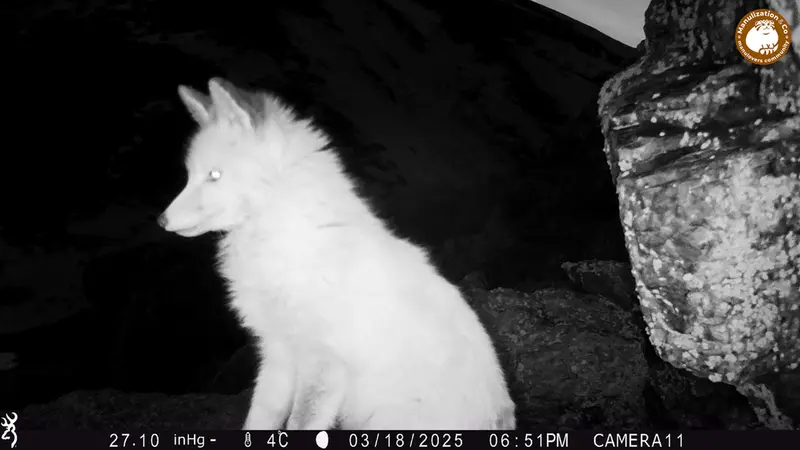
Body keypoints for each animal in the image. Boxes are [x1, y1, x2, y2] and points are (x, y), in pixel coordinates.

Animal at [158, 78, 516, 430]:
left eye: (214, 176)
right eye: (190, 176)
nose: (162, 220)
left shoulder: (323, 364)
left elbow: (300, 424)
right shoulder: (277, 353)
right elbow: (259, 420)